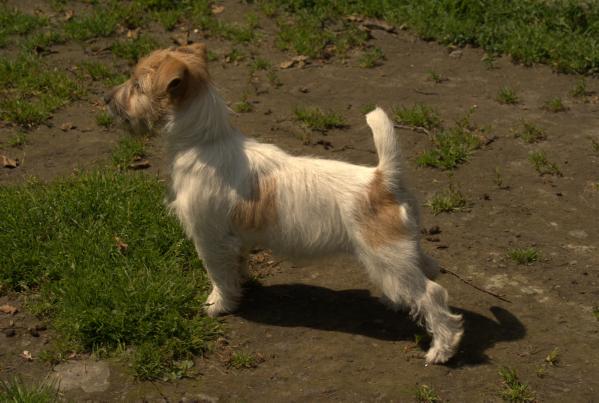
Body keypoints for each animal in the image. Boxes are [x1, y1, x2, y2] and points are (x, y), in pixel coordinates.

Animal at [105, 44, 464, 366]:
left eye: (136, 85)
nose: (106, 98)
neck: (205, 140)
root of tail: (382, 178)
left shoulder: (209, 238)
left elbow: (218, 274)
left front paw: (218, 305)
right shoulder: (233, 240)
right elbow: (236, 265)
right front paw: (242, 286)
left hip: (386, 257)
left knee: (432, 294)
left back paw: (441, 350)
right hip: (401, 250)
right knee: (429, 269)